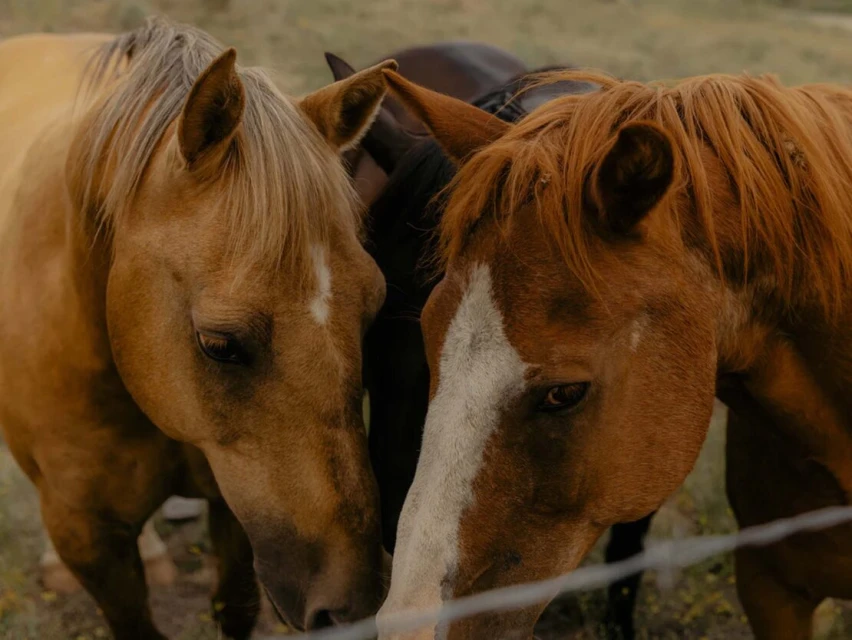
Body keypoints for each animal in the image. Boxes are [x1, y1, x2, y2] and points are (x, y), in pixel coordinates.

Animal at [0, 18, 396, 638]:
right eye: (219, 344)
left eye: (374, 308)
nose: (353, 606)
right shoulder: (88, 537)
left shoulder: (233, 508)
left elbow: (233, 605)